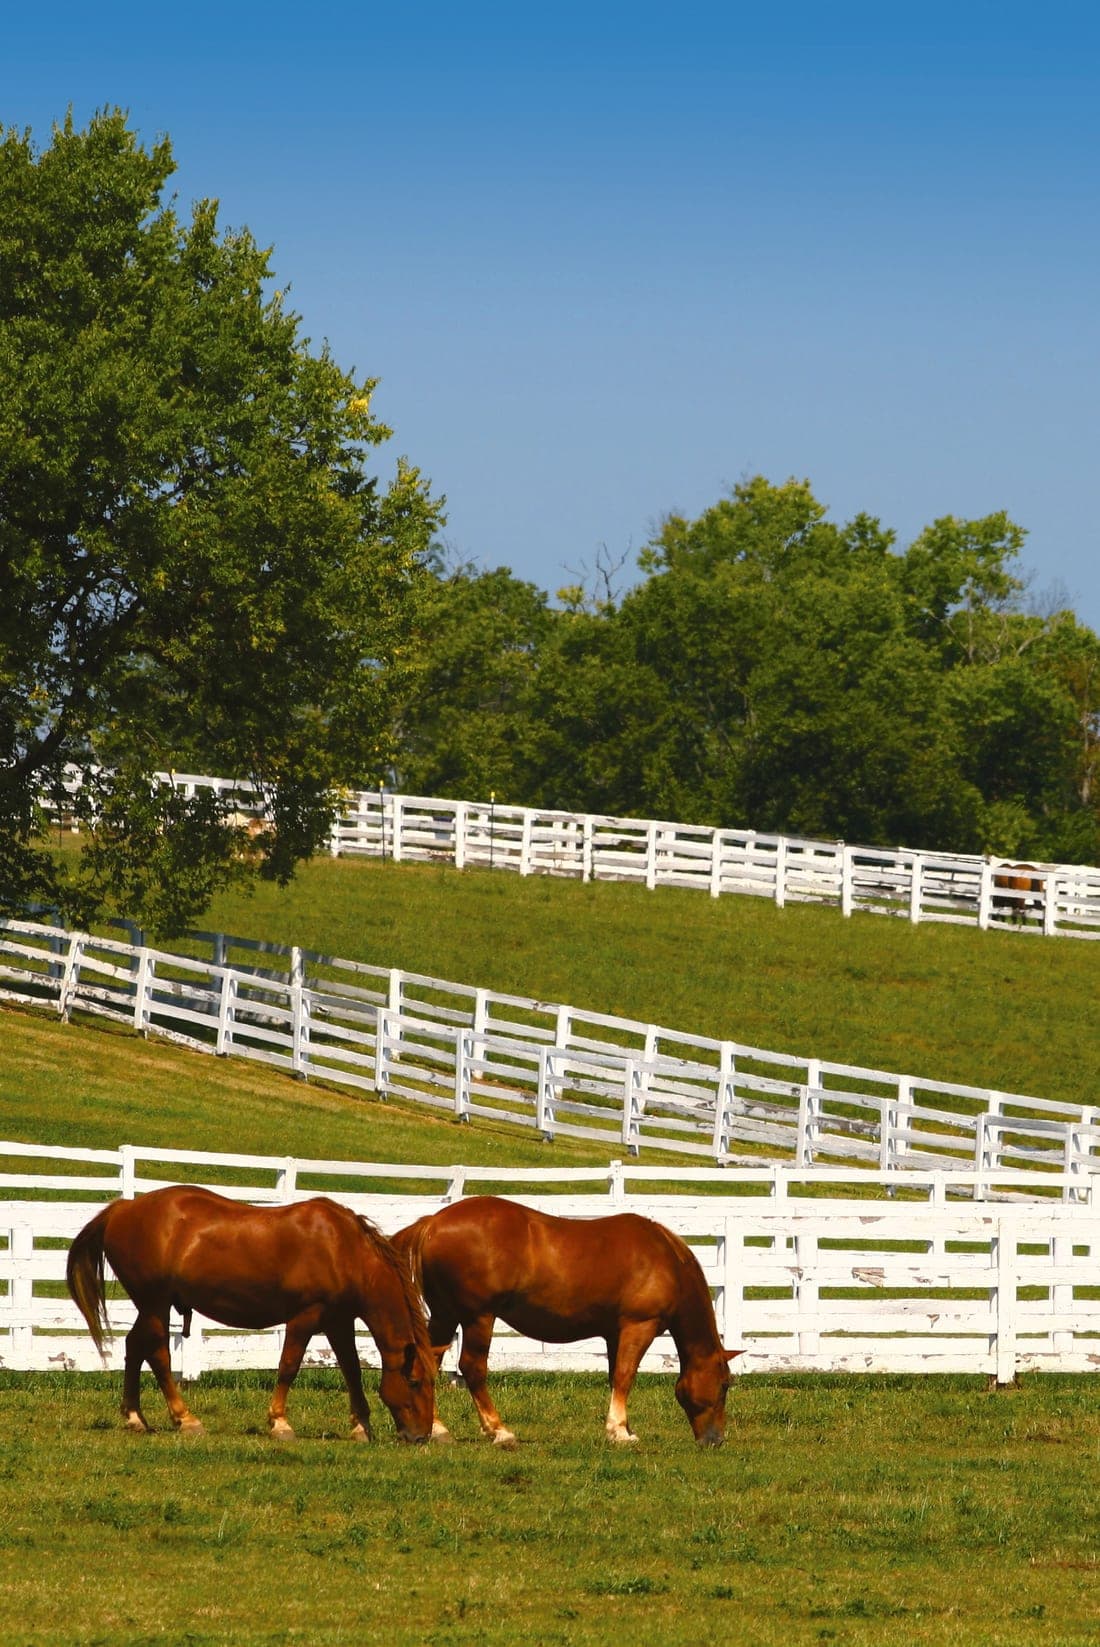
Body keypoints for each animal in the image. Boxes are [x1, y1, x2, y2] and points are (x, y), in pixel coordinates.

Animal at [66, 1185, 437, 1443]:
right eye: (414, 1382)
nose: (421, 1436)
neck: (342, 1248)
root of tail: (124, 1208)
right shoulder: (305, 1317)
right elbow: (288, 1367)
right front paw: (279, 1422)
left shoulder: (338, 1321)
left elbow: (352, 1371)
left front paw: (361, 1426)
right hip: (155, 1304)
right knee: (157, 1354)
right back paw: (185, 1418)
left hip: (149, 1306)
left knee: (134, 1347)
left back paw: (135, 1417)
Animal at [393, 1196, 739, 1448]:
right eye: (724, 1385)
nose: (715, 1440)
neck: (665, 1260)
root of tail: (432, 1223)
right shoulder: (639, 1327)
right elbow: (625, 1376)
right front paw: (620, 1432)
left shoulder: (614, 1334)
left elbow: (615, 1376)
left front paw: (622, 1427)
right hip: (479, 1318)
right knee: (473, 1368)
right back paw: (499, 1430)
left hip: (445, 1316)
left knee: (430, 1362)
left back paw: (437, 1429)